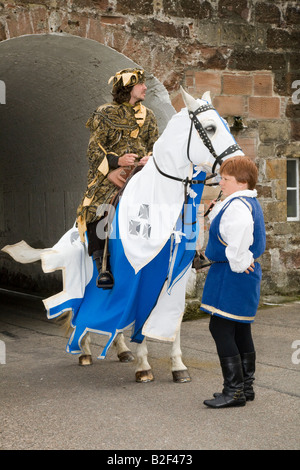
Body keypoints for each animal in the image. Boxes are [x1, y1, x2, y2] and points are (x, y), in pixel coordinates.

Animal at [1, 88, 244, 382]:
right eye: (210, 128)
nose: (239, 164)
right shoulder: (137, 274)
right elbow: (136, 314)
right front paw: (144, 366)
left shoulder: (177, 274)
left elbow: (171, 322)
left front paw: (177, 366)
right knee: (79, 311)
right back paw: (84, 352)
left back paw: (121, 350)